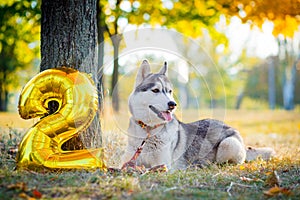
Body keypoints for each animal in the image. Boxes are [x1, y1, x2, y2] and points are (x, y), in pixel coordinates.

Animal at [123, 60, 276, 170]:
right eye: (155, 90)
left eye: (170, 91)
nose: (173, 104)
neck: (148, 132)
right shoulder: (128, 161)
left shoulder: (163, 166)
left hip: (227, 144)